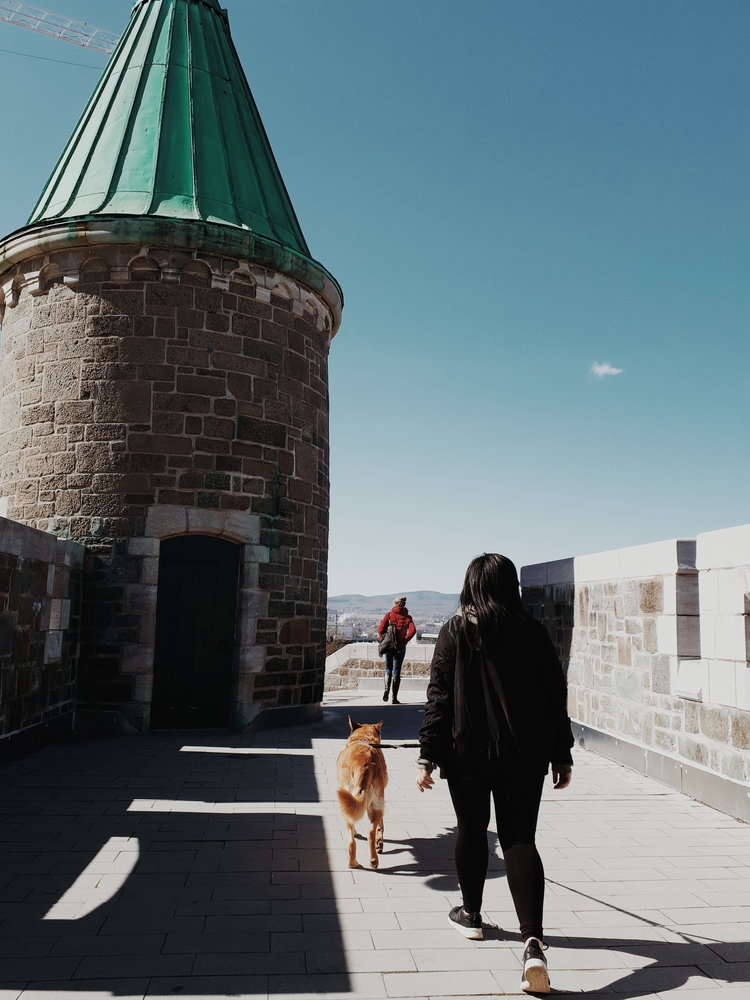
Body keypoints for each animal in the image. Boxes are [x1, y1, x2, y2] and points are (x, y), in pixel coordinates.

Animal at [338, 720, 390, 868]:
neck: (362, 738)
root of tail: (365, 764)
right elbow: (380, 826)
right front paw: (380, 842)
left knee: (352, 840)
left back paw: (353, 862)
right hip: (376, 803)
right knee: (370, 832)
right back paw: (373, 859)